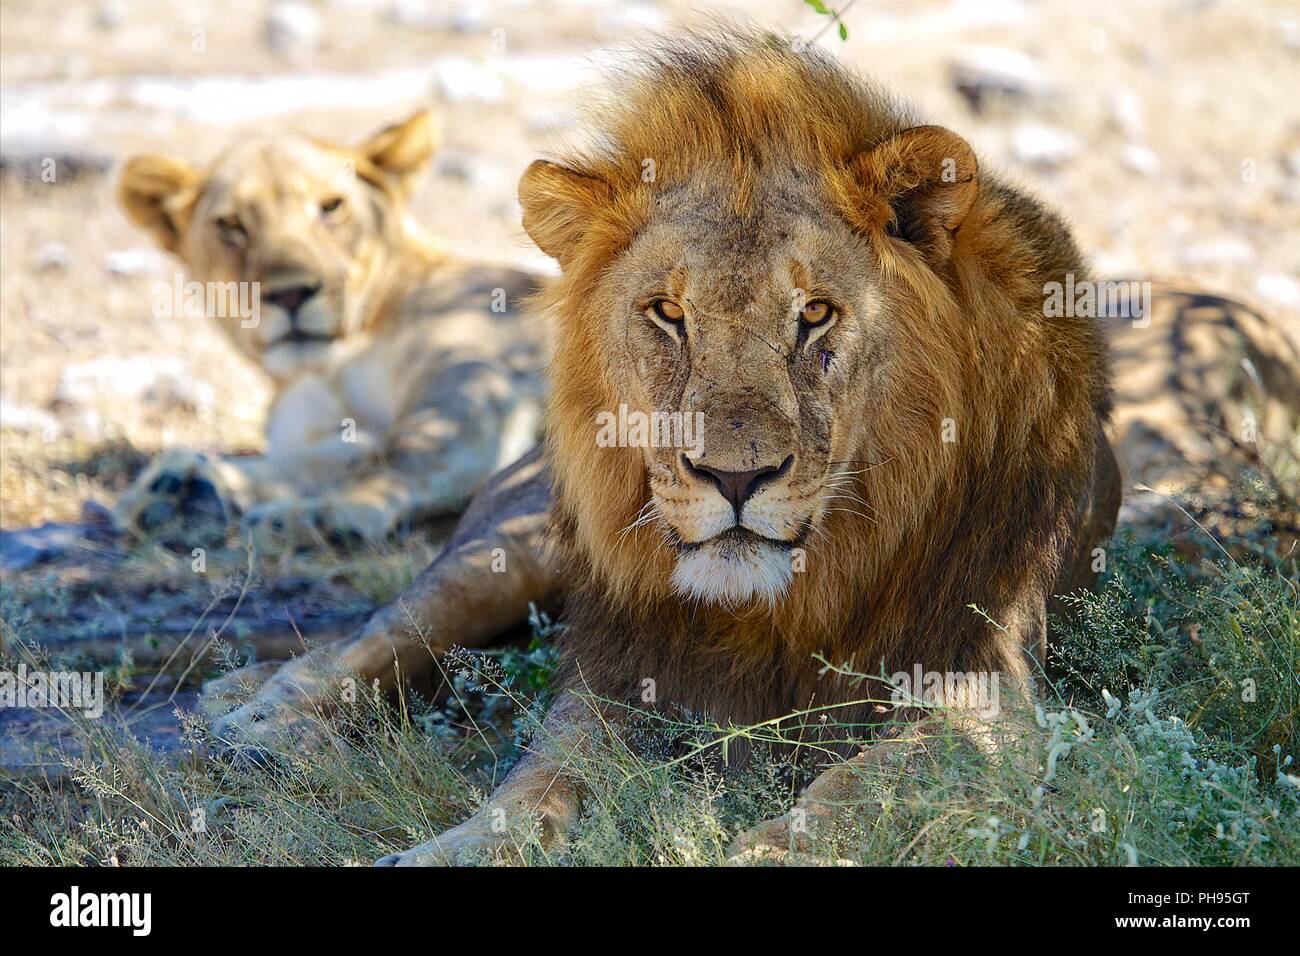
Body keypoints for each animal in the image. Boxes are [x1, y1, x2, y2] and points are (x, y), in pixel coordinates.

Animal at [110, 111, 538, 546]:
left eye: (331, 207)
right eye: (231, 224)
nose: (291, 294)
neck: (327, 368)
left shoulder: (475, 366)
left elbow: (408, 449)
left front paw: (324, 513)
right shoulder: (331, 431)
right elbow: (323, 459)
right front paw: (186, 486)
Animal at [210, 35, 1289, 868]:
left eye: (814, 314)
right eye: (666, 313)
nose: (734, 477)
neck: (778, 608)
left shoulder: (985, 698)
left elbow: (851, 794)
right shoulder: (619, 674)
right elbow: (534, 780)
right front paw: (452, 847)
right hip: (513, 544)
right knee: (376, 633)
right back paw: (258, 718)